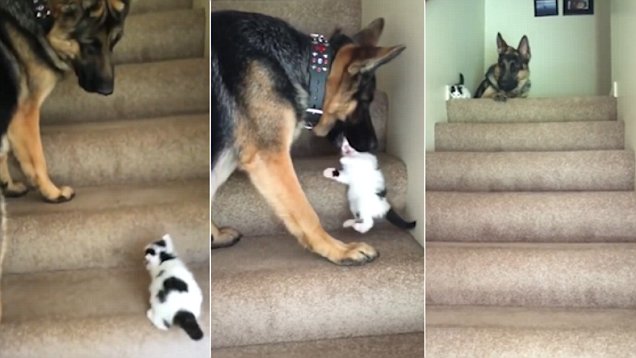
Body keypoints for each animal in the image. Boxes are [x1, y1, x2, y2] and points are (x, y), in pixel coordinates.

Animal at [0, 0, 129, 201]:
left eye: (114, 42)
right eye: (90, 45)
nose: (108, 91)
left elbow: (3, 152)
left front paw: (8, 185)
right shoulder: (24, 114)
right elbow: (37, 158)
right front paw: (53, 192)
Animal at [211, 10, 404, 266]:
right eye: (364, 100)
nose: (374, 145)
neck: (309, 68)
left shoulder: (227, 156)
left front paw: (214, 236)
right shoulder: (270, 158)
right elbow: (306, 213)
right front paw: (339, 249)